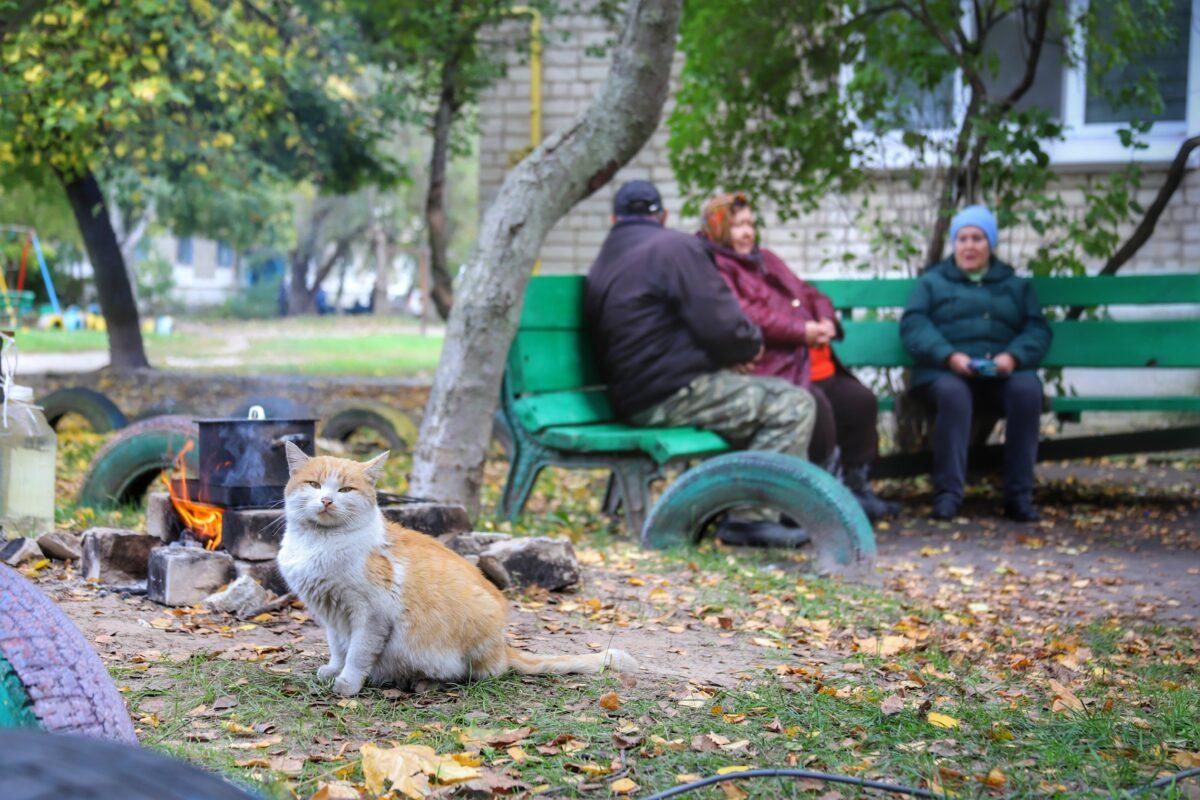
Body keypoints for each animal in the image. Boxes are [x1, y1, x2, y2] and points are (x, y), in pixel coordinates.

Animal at [276, 441, 638, 695]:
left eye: (345, 489)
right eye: (314, 484)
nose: (326, 501)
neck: (318, 543)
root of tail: (503, 648)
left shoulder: (370, 615)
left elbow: (357, 653)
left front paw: (347, 684)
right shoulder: (332, 614)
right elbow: (338, 648)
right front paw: (332, 670)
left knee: (477, 675)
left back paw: (424, 683)